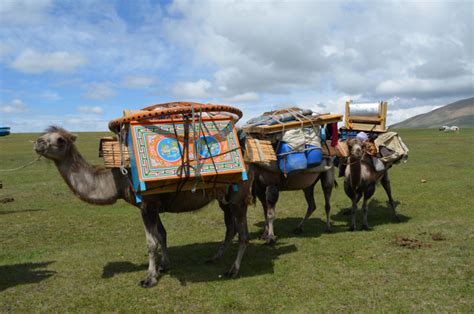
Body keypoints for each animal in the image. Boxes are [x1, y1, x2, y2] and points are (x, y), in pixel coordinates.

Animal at [34, 125, 252, 288]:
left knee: (243, 233)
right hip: (224, 199)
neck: (118, 179)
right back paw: (215, 258)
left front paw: (149, 278)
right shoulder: (153, 206)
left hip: (239, 197)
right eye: (43, 135)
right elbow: (162, 235)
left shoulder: (147, 205)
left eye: (60, 140)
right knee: (230, 228)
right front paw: (164, 266)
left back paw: (233, 270)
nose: (37, 142)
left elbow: (151, 242)